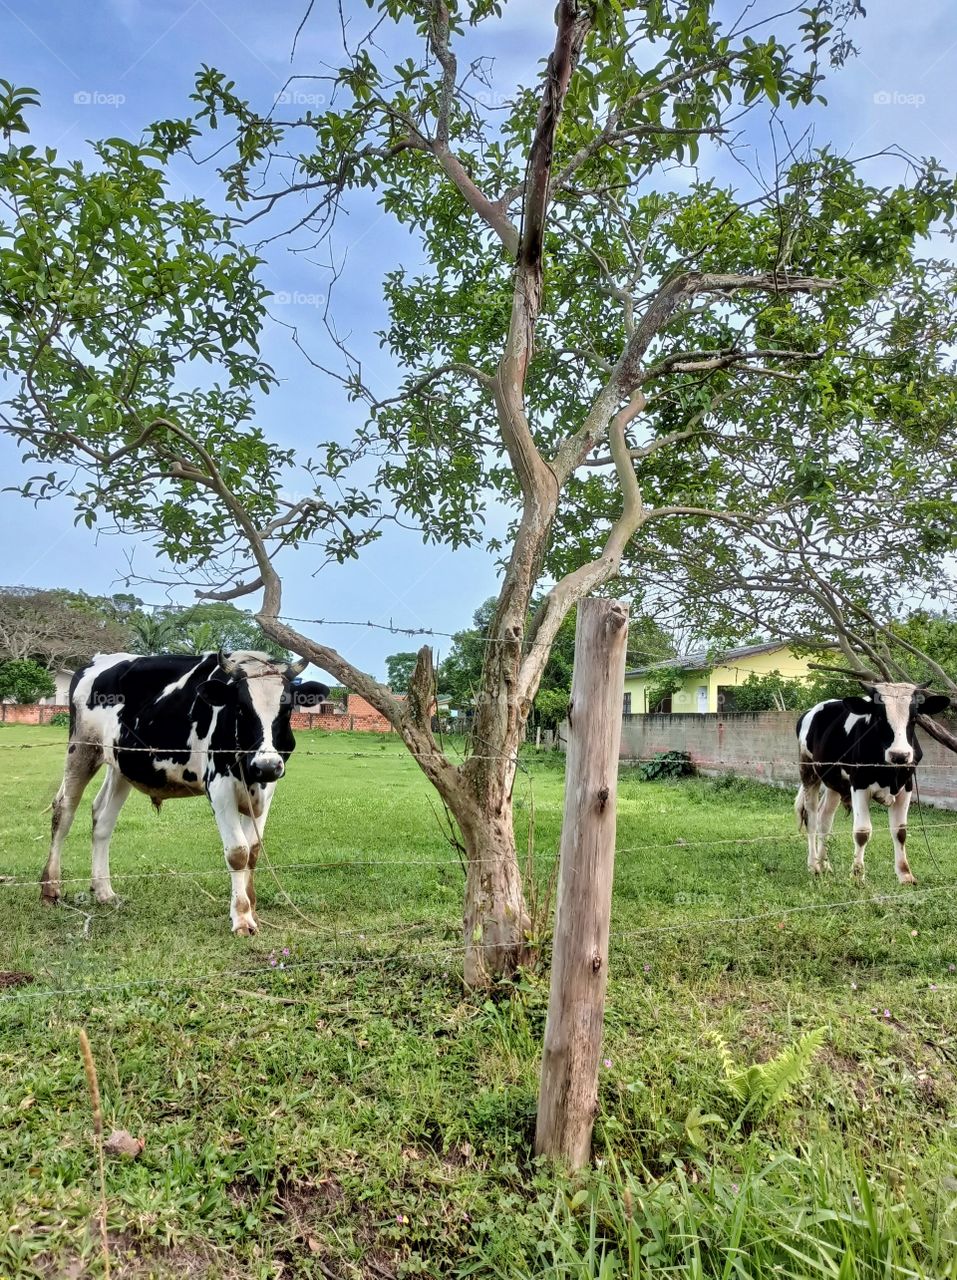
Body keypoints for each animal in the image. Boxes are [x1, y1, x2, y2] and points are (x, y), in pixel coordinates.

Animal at [40, 650, 328, 935]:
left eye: (287, 708)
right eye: (241, 708)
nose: (266, 765)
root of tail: (96, 659)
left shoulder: (267, 789)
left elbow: (254, 850)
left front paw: (252, 908)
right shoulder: (219, 786)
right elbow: (238, 852)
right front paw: (242, 917)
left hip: (122, 765)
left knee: (102, 819)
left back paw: (104, 891)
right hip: (82, 748)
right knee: (63, 810)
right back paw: (50, 889)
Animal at [795, 681, 950, 884]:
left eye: (915, 717)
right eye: (879, 716)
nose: (899, 755)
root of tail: (811, 710)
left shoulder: (906, 787)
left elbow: (900, 832)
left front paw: (905, 874)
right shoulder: (859, 784)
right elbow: (862, 832)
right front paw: (857, 875)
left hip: (834, 782)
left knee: (825, 818)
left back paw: (824, 864)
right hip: (808, 771)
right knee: (811, 818)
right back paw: (813, 865)